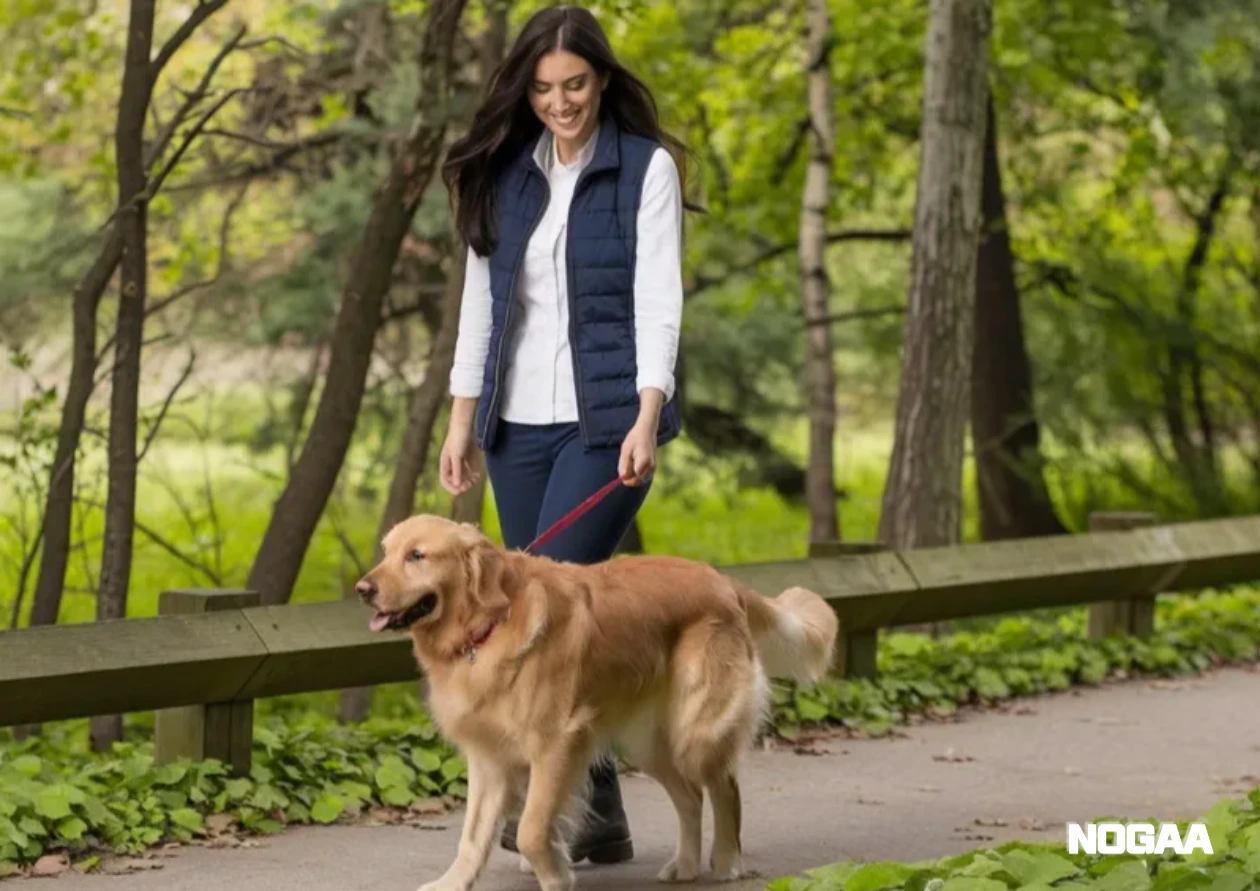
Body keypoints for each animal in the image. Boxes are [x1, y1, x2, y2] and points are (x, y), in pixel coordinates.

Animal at [355, 516, 836, 891]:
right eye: (387, 552)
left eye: (417, 555)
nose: (363, 588)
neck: (488, 626)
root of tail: (725, 581)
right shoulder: (490, 757)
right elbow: (473, 835)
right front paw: (453, 881)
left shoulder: (557, 743)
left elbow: (531, 829)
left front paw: (555, 875)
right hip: (649, 743)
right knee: (690, 796)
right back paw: (684, 865)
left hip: (695, 731)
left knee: (724, 786)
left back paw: (725, 861)